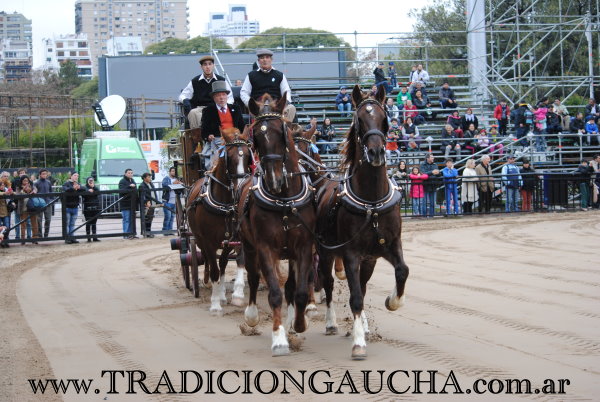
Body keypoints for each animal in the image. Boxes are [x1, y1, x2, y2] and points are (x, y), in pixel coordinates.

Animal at [188, 127, 253, 316]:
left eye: (248, 155)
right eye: (229, 156)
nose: (242, 183)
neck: (225, 204)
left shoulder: (234, 238)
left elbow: (230, 263)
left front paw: (230, 295)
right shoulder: (209, 241)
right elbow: (215, 269)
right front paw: (215, 305)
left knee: (222, 263)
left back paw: (222, 293)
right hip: (200, 238)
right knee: (208, 261)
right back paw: (207, 282)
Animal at [237, 93, 316, 354]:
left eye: (280, 132)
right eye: (257, 136)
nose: (274, 179)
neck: (283, 200)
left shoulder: (303, 247)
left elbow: (299, 291)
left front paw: (298, 325)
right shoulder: (266, 248)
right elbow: (273, 293)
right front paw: (279, 338)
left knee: (291, 286)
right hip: (248, 245)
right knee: (253, 277)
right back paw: (251, 315)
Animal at [314, 84, 408, 358]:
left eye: (384, 119)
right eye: (359, 121)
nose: (376, 152)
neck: (372, 204)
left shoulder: (388, 246)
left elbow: (402, 271)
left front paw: (393, 301)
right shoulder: (351, 254)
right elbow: (354, 296)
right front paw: (358, 343)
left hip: (370, 260)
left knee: (364, 287)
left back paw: (364, 325)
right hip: (325, 252)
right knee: (328, 283)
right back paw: (331, 323)